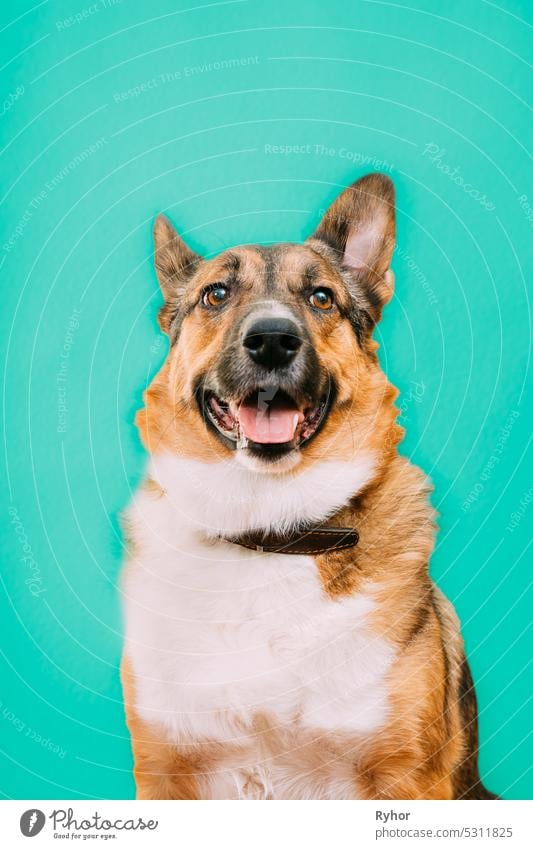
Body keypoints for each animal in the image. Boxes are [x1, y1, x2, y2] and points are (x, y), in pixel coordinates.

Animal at [118, 174, 496, 800]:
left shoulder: (406, 778)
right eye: (216, 294)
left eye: (321, 298)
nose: (272, 340)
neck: (270, 530)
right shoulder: (168, 772)